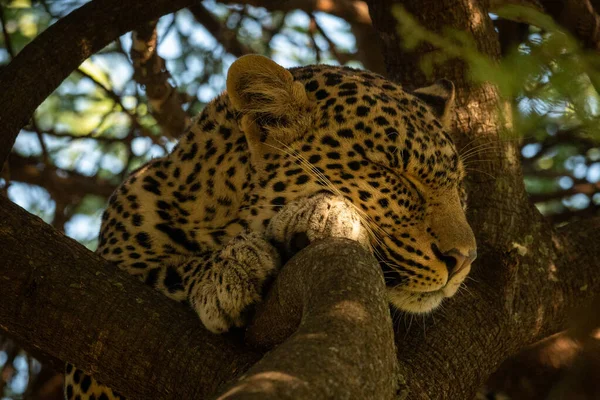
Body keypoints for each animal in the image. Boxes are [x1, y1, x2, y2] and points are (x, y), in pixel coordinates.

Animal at [64, 54, 478, 400]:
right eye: (393, 176)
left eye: (459, 188)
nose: (464, 259)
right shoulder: (92, 363)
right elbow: (157, 271)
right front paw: (229, 269)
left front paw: (321, 214)